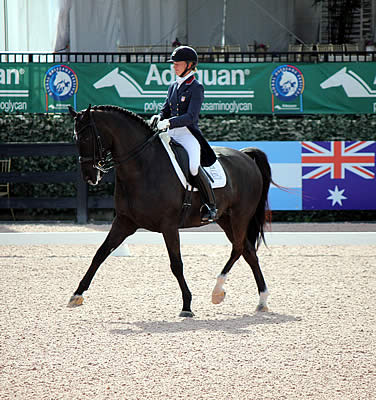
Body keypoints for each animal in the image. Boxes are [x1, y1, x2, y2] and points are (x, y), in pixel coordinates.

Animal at [67, 104, 272, 318]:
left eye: (87, 138)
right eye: (75, 138)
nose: (90, 177)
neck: (143, 166)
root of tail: (245, 156)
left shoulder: (169, 225)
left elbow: (176, 264)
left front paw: (187, 305)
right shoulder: (124, 221)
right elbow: (100, 253)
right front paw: (76, 295)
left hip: (240, 216)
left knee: (238, 248)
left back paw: (218, 291)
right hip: (225, 218)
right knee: (248, 251)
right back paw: (261, 300)